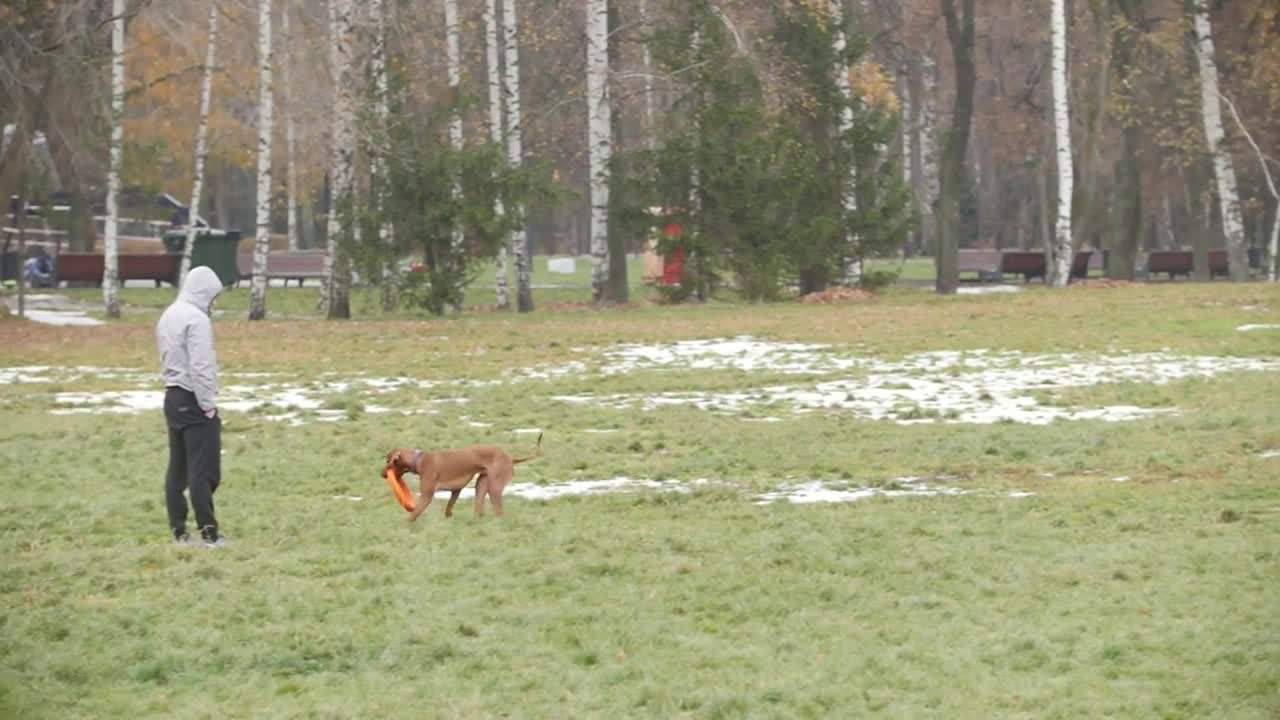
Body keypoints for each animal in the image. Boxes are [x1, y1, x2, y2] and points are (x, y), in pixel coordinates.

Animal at [378, 427, 540, 517]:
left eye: (388, 461)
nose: (381, 474)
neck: (419, 460)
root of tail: (510, 457)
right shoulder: (455, 491)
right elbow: (448, 510)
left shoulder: (426, 496)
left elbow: (413, 515)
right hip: (481, 485)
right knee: (480, 509)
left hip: (494, 488)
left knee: (499, 512)